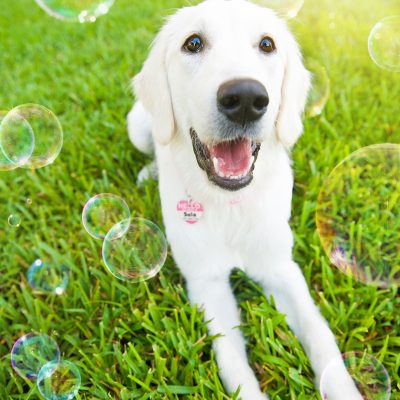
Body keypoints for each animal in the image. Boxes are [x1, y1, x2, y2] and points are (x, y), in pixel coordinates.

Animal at [127, 1, 362, 398]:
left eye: (267, 44)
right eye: (193, 43)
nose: (246, 99)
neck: (230, 206)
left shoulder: (281, 268)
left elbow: (320, 335)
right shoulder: (207, 283)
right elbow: (234, 364)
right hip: (139, 126)